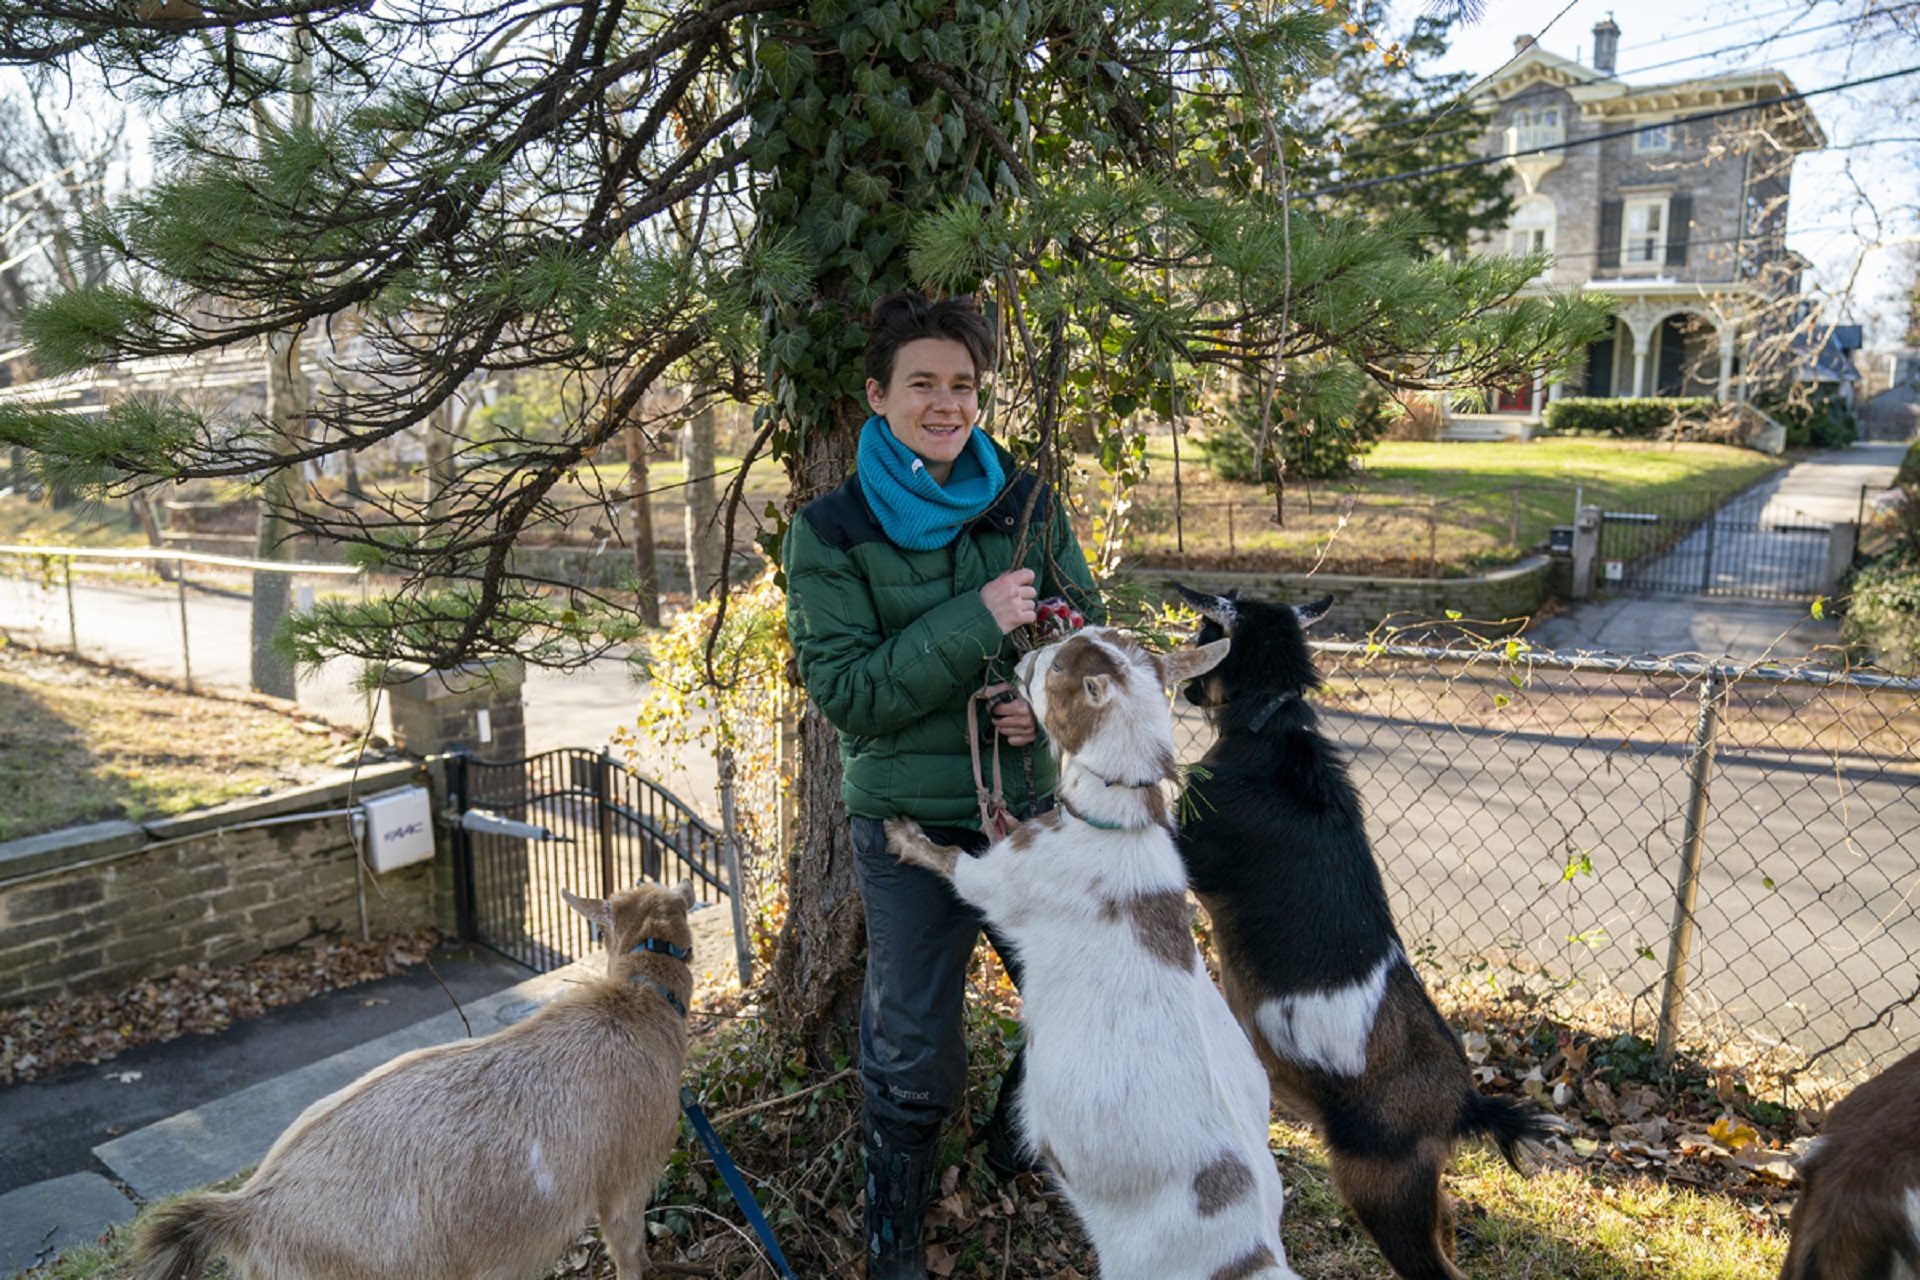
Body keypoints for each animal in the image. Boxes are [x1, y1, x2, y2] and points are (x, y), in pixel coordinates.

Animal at [883, 629, 1305, 1280]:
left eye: (1057, 666)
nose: (1024, 655)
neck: (1115, 824)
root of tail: (1251, 1254)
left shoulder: (1002, 882)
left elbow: (952, 862)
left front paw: (905, 836)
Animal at [1167, 587, 1559, 1280]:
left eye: (1204, 631)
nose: (1185, 686)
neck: (1267, 736)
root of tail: (1463, 1104)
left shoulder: (1192, 844)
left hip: (1382, 1186)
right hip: (1422, 1187)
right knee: (1449, 1223)